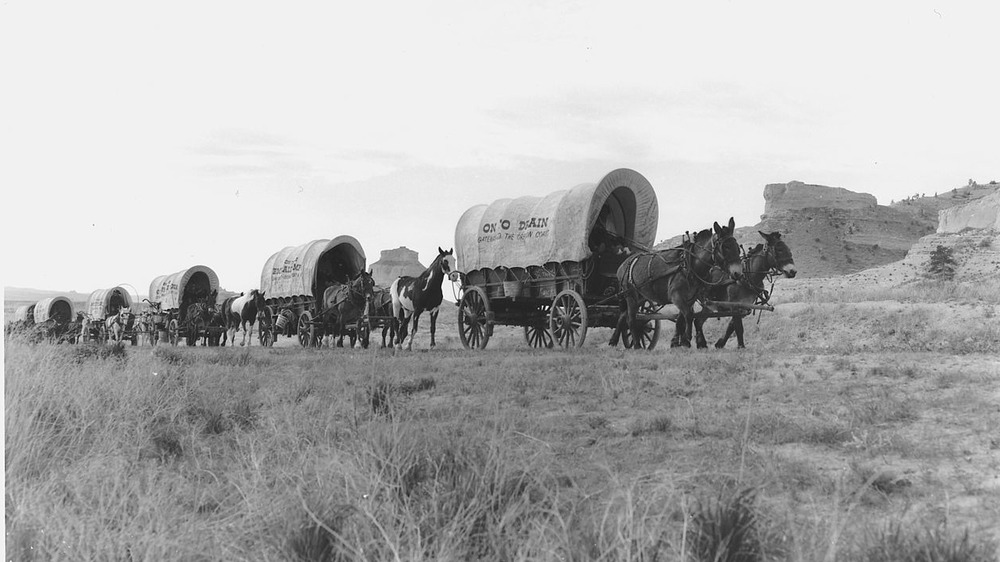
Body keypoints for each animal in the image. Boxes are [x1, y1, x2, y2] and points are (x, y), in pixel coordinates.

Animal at [608, 217, 744, 348]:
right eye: (725, 247)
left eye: (737, 247)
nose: (738, 273)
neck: (689, 265)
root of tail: (624, 264)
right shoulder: (676, 296)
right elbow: (688, 315)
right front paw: (686, 339)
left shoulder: (689, 299)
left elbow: (680, 321)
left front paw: (679, 343)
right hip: (630, 295)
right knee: (631, 319)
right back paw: (636, 345)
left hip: (640, 298)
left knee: (622, 316)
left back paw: (613, 341)